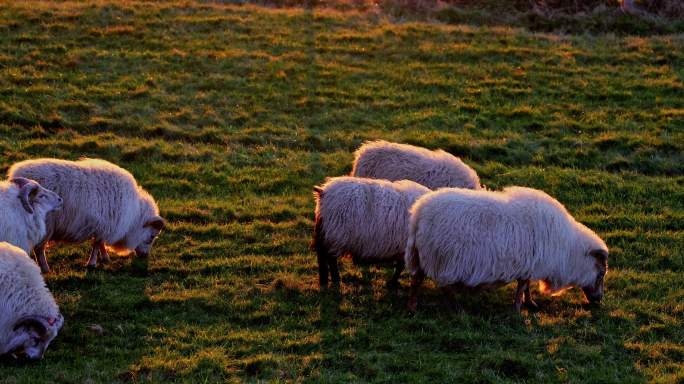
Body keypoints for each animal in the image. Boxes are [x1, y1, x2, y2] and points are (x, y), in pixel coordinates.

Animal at [8, 157, 166, 272]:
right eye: (152, 236)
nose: (145, 257)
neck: (134, 216)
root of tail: (16, 174)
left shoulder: (104, 226)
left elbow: (100, 243)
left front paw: (105, 258)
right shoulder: (106, 225)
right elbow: (96, 244)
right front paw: (93, 263)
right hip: (47, 224)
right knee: (40, 249)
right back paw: (46, 269)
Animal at [404, 186, 608, 312]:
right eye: (600, 273)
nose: (599, 300)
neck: (568, 251)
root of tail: (418, 212)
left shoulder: (530, 264)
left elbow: (526, 286)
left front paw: (530, 303)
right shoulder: (530, 264)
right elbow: (522, 286)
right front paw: (519, 308)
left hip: (422, 255)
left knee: (416, 280)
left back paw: (413, 307)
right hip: (442, 259)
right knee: (442, 286)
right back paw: (456, 307)